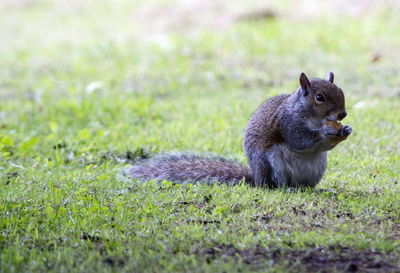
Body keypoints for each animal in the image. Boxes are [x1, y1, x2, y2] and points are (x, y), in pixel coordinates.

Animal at [126, 71, 352, 188]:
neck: (315, 118)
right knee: (276, 185)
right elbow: (299, 139)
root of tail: (256, 179)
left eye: (341, 91)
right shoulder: (288, 121)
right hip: (272, 163)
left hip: (317, 167)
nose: (343, 114)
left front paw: (346, 130)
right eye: (319, 97)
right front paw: (324, 132)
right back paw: (286, 189)